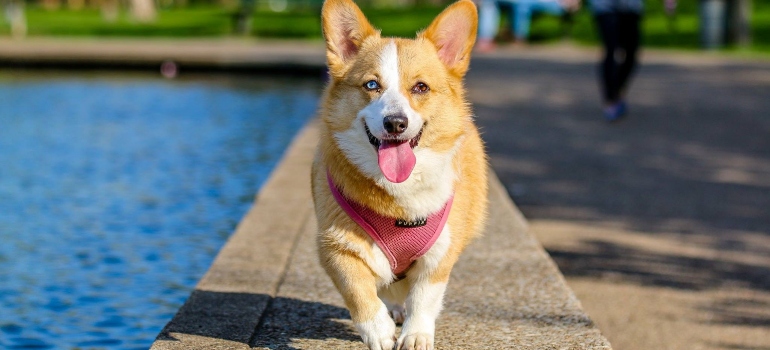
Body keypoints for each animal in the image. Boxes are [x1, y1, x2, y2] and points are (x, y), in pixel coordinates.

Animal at [308, 1, 484, 348]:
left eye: (421, 87)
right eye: (371, 85)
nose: (395, 123)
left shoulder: (440, 254)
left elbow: (424, 298)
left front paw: (415, 335)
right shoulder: (335, 246)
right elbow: (358, 290)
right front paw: (377, 330)